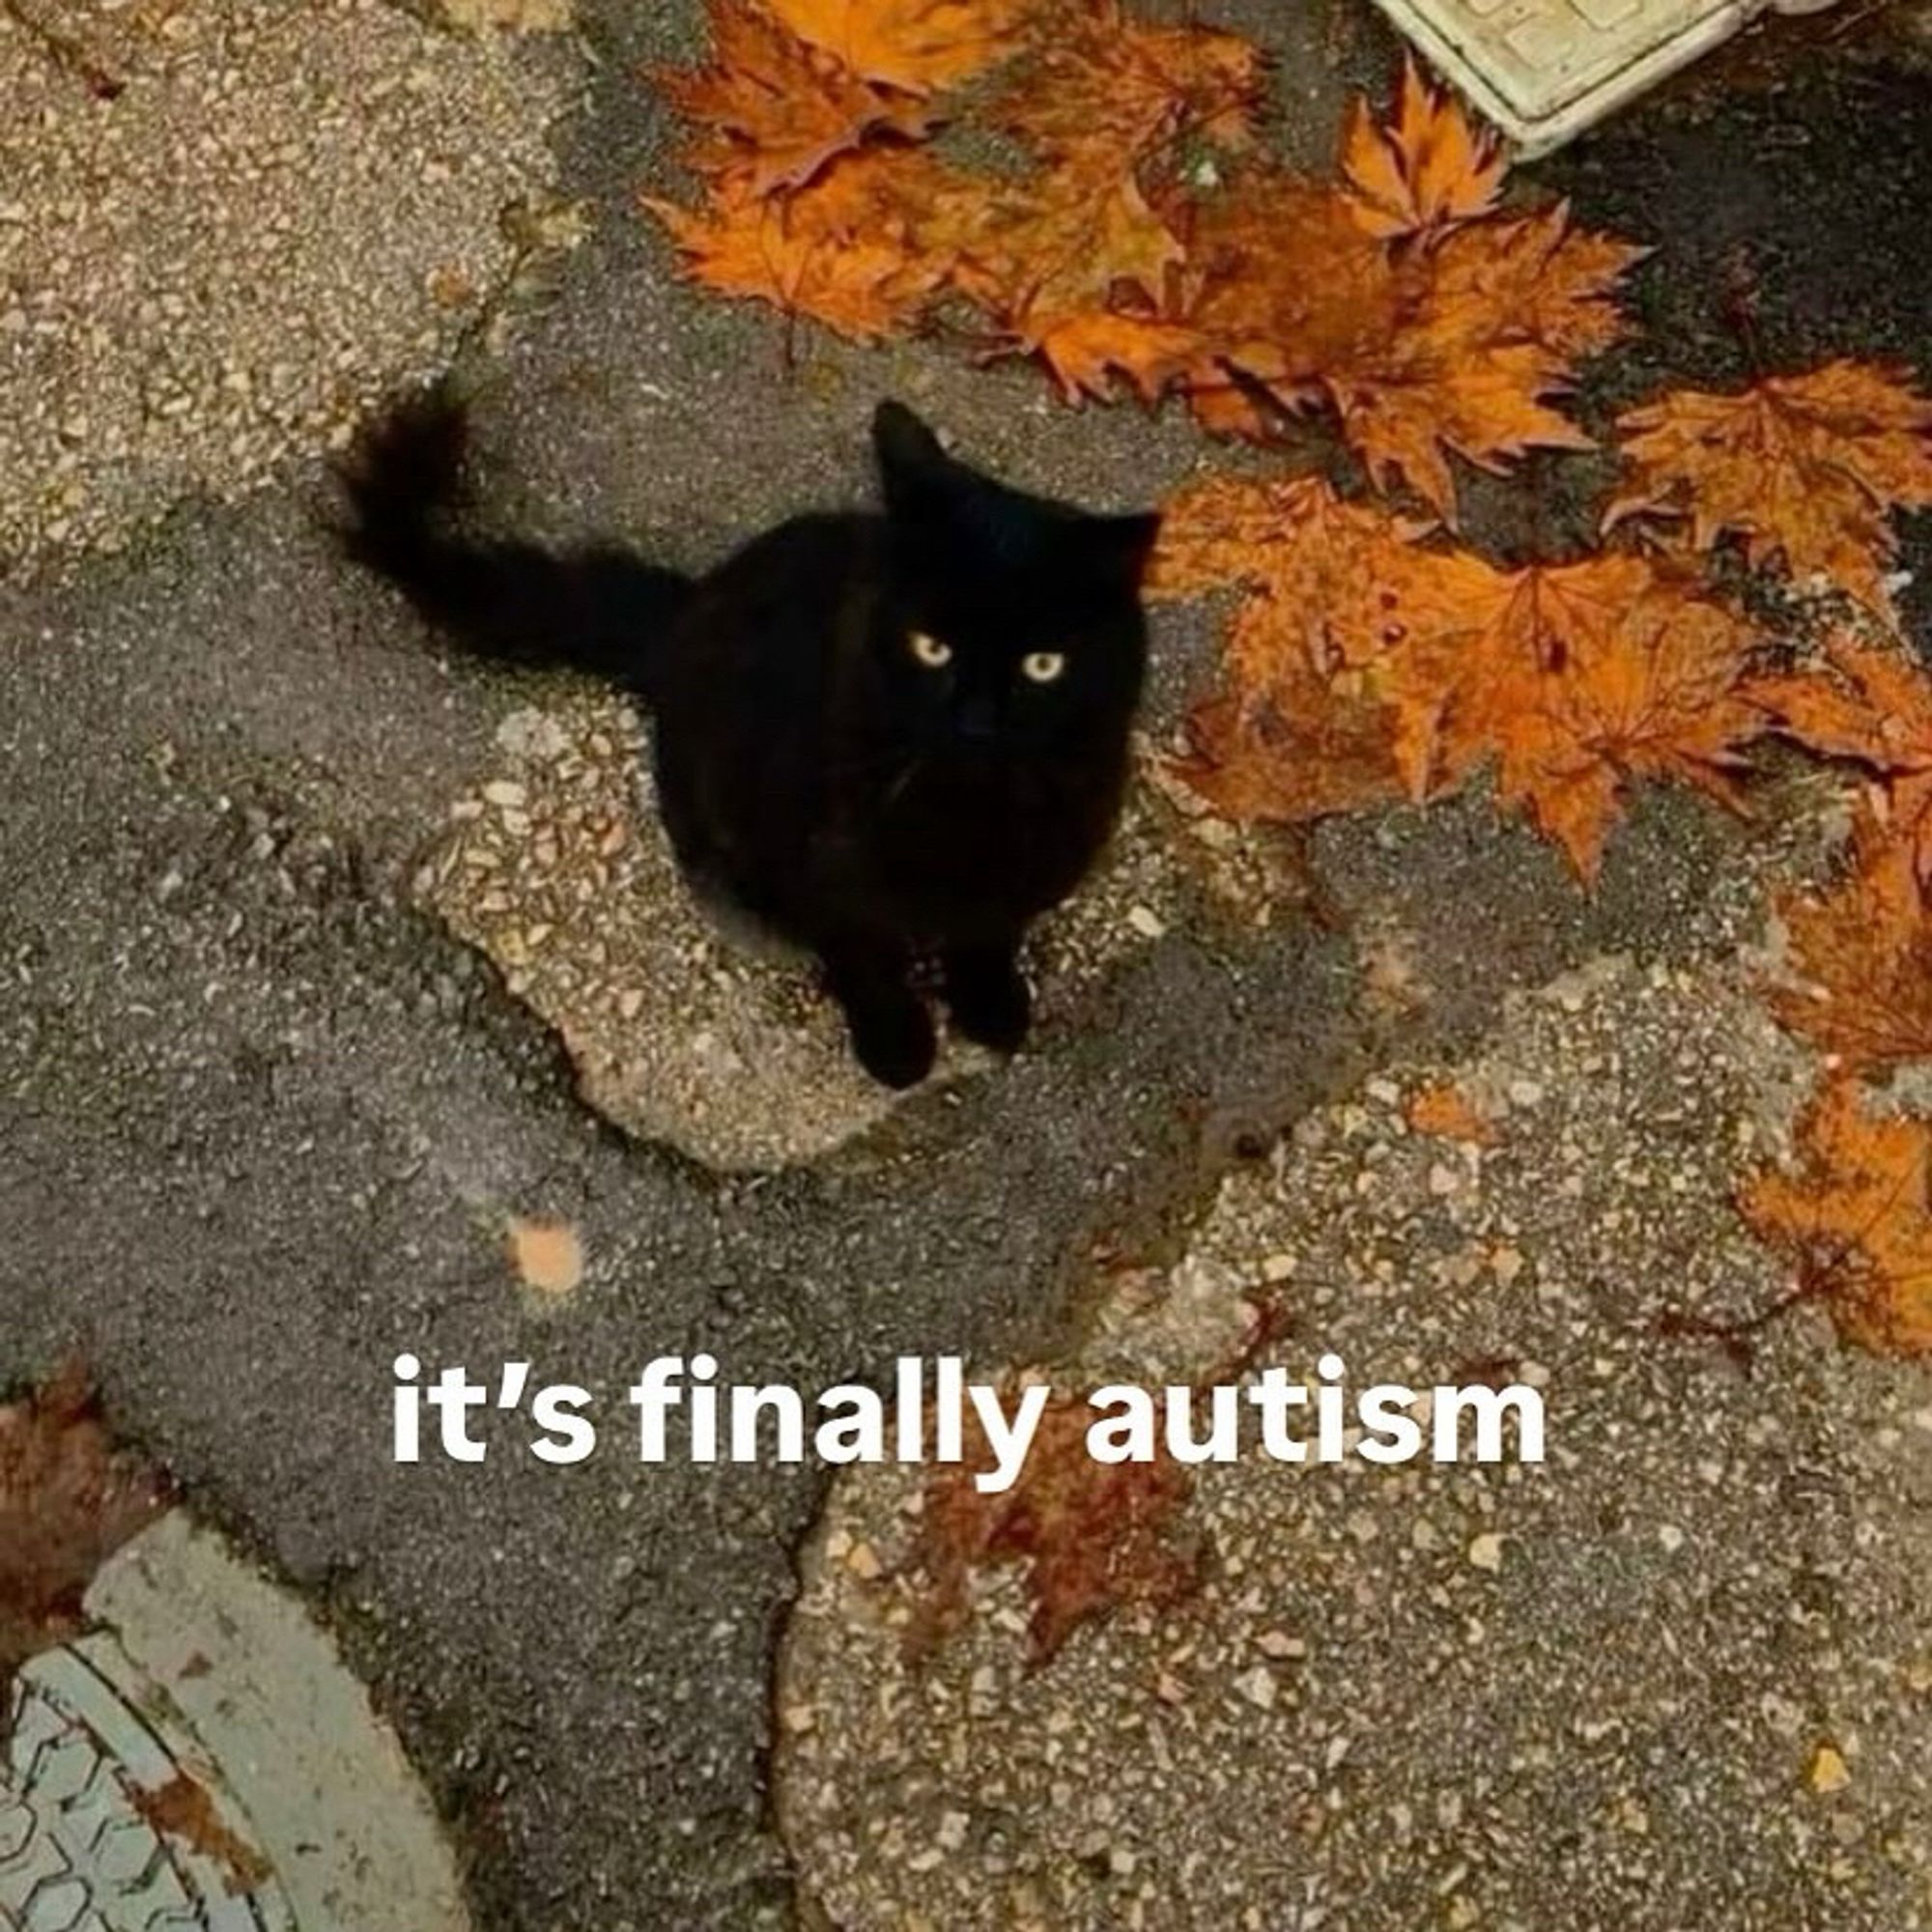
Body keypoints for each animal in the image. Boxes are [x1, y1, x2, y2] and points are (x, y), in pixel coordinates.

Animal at [338, 396, 1151, 1090]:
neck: (960, 817)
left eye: (1043, 664)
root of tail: (687, 610)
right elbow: (863, 957)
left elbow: (990, 934)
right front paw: (897, 1045)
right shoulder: (812, 862)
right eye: (932, 647)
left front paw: (992, 1005)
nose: (976, 718)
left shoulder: (1038, 866)